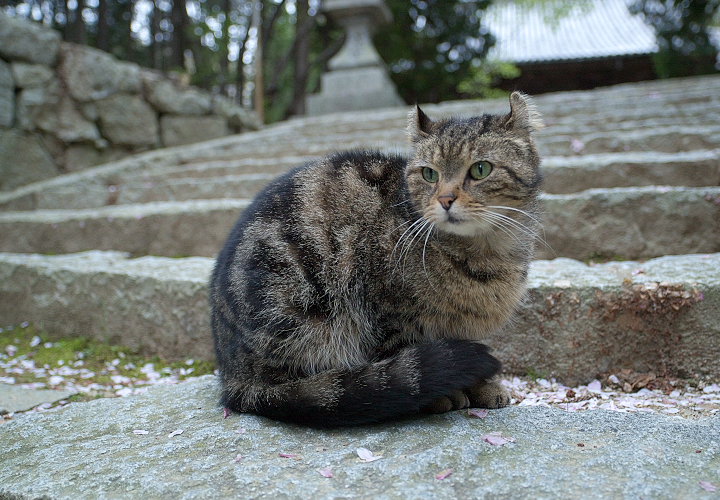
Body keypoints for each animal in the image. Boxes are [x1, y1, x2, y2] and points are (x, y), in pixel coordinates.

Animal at [211, 92, 544, 428]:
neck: (486, 254)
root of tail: (232, 378)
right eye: (430, 174)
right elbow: (405, 351)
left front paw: (484, 387)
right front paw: (442, 396)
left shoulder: (463, 328)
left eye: (480, 170)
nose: (445, 200)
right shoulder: (387, 310)